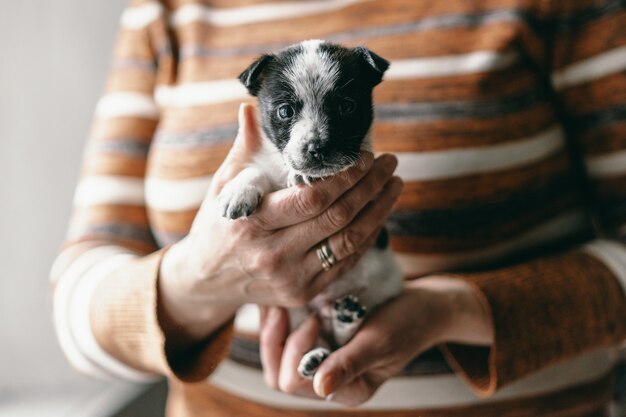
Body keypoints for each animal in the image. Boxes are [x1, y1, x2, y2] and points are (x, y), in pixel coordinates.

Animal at [217, 40, 402, 378]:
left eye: (347, 106)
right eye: (285, 111)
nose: (317, 149)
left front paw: (310, 176)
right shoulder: (268, 166)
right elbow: (256, 170)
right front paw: (239, 190)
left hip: (381, 291)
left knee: (344, 339)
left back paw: (346, 318)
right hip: (295, 313)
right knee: (320, 338)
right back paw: (313, 356)